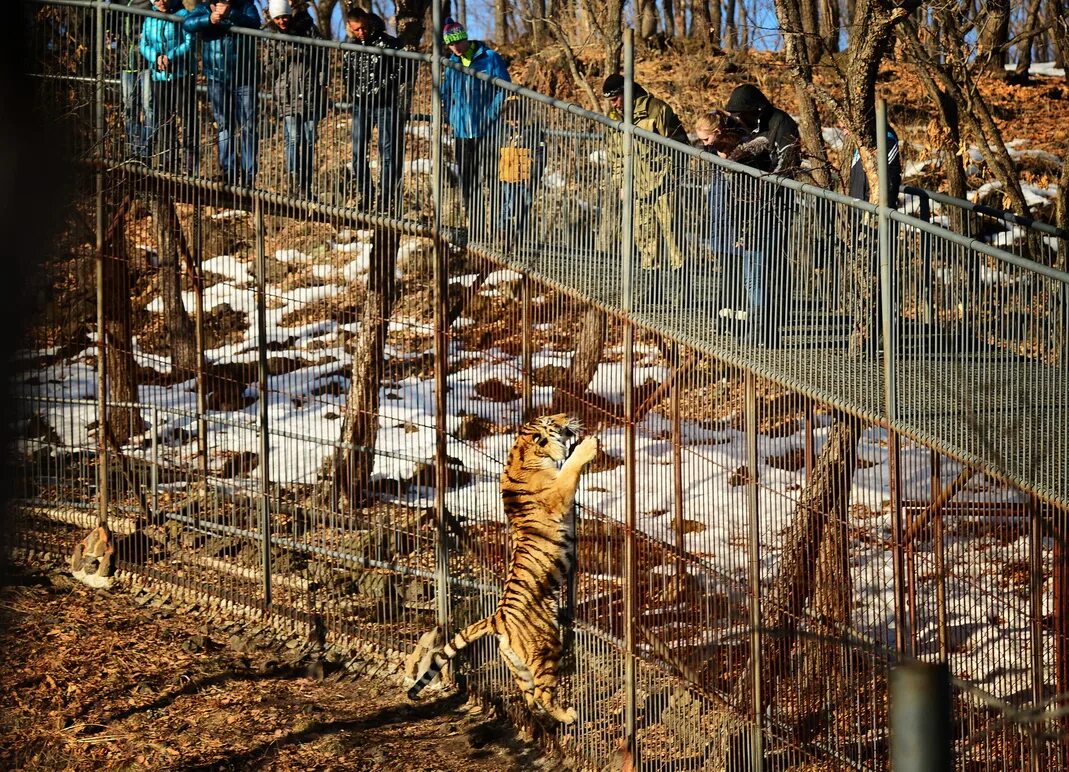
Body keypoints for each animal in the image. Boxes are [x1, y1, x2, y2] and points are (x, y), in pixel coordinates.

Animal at [404, 414, 598, 722]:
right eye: (551, 420)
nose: (567, 417)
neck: (523, 453)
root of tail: (498, 619)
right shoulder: (557, 493)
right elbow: (570, 469)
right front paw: (587, 445)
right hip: (546, 647)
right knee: (543, 693)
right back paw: (567, 715)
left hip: (517, 664)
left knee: (530, 698)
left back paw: (541, 718)